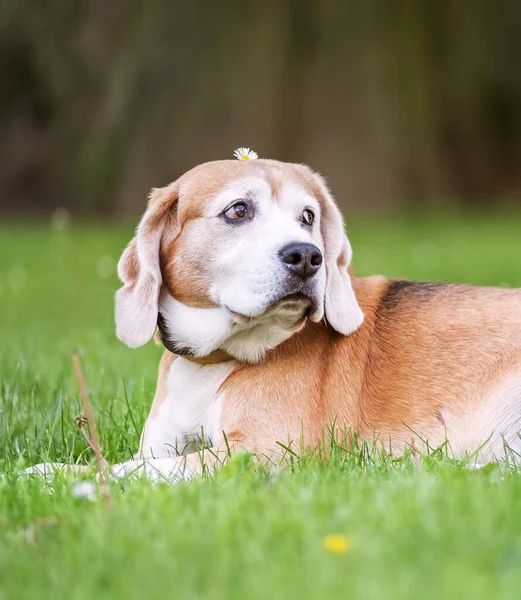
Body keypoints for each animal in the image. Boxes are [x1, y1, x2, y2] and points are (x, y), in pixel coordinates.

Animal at [25, 157, 520, 480]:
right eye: (238, 210)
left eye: (308, 217)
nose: (307, 256)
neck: (216, 361)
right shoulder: (161, 445)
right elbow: (116, 461)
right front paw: (53, 470)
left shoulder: (264, 454)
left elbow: (132, 471)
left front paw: (67, 482)